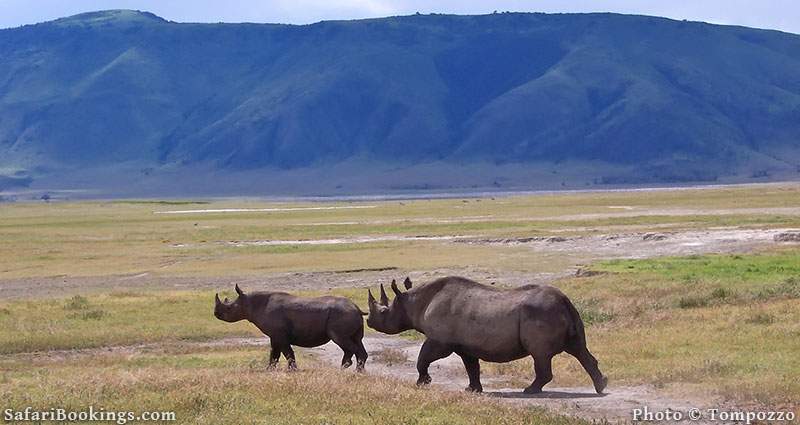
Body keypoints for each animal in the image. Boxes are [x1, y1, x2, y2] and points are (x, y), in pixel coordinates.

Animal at [214, 284, 368, 372]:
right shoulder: (274, 335)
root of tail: (357, 308)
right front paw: (269, 369)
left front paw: (292, 370)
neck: (250, 303)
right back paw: (351, 370)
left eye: (229, 308)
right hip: (348, 315)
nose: (216, 314)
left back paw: (352, 370)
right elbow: (274, 353)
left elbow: (287, 353)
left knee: (342, 340)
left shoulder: (280, 335)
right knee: (356, 341)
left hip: (342, 315)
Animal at [368, 276, 608, 392]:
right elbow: (471, 366)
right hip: (562, 312)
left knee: (540, 355)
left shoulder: (440, 340)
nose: (369, 321)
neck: (413, 302)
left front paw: (422, 383)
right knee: (579, 349)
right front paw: (472, 390)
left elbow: (423, 358)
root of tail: (564, 299)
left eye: (384, 312)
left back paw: (529, 391)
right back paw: (601, 386)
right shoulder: (464, 345)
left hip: (541, 313)